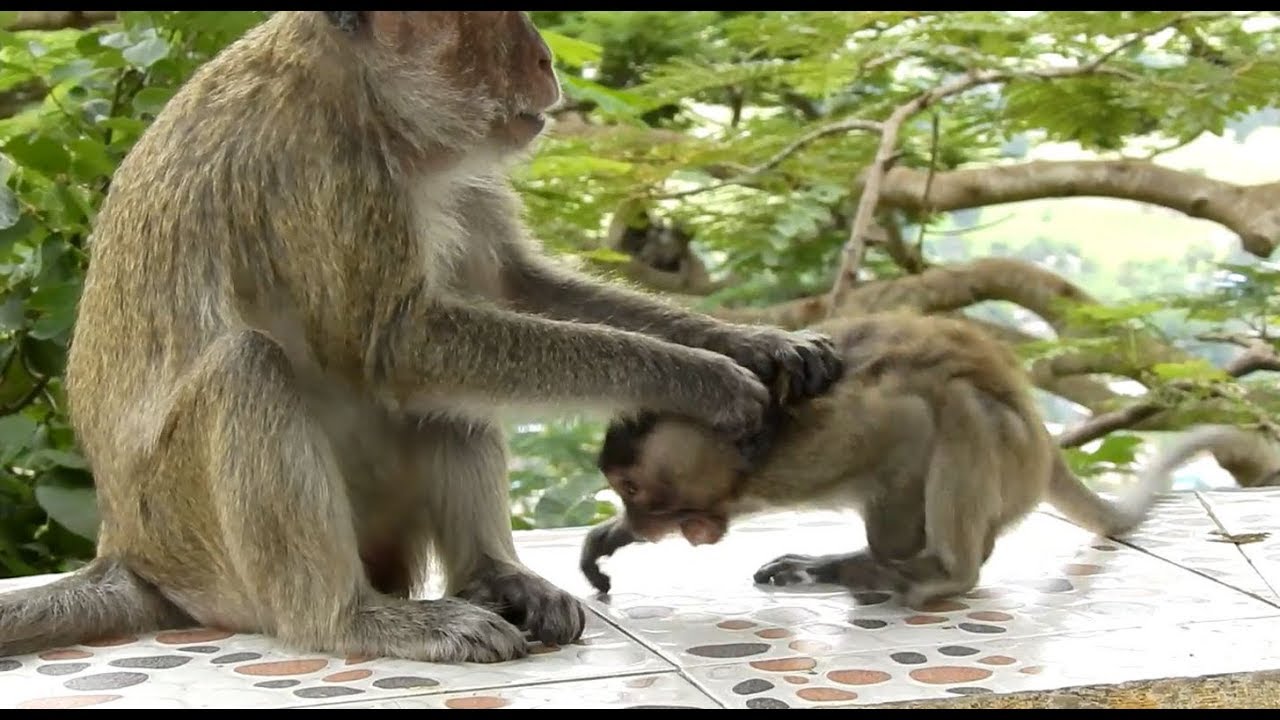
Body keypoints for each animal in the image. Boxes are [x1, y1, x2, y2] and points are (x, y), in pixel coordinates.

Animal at [0, 12, 844, 663]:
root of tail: (126, 551)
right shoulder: (323, 163)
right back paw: (353, 619)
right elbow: (397, 344)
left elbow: (513, 289)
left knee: (452, 393)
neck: (374, 100)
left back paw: (494, 578)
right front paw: (700, 378)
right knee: (253, 367)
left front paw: (755, 344)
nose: (543, 58)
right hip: (196, 540)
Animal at [580, 311, 1180, 605]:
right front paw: (611, 537)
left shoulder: (823, 444)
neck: (757, 457)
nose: (639, 520)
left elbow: (909, 422)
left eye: (631, 488)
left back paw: (943, 573)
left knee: (960, 406)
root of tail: (1044, 439)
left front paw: (885, 561)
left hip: (1012, 457)